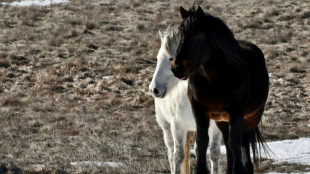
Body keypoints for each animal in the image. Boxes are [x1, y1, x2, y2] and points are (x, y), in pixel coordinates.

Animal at [149, 24, 222, 174]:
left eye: (171, 58)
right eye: (158, 58)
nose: (154, 89)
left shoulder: (214, 127)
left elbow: (214, 154)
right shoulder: (178, 127)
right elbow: (178, 157)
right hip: (166, 128)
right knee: (171, 154)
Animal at [171, 6, 270, 173]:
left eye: (197, 36)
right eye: (178, 36)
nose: (176, 68)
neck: (215, 80)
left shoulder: (236, 112)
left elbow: (236, 143)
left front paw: (239, 169)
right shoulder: (200, 111)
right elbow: (202, 142)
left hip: (252, 117)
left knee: (244, 143)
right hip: (222, 121)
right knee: (228, 144)